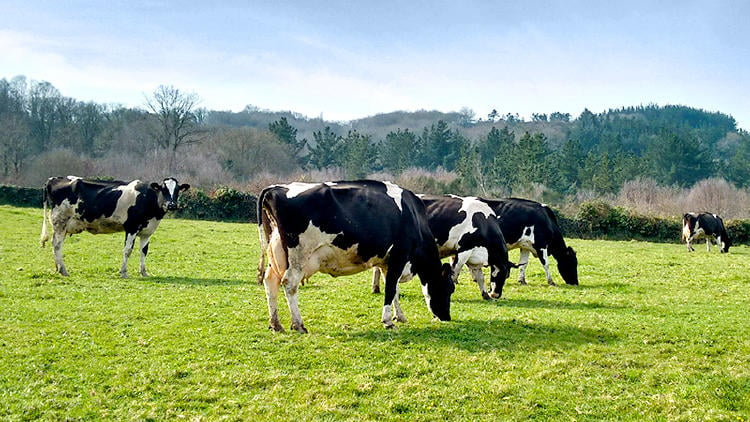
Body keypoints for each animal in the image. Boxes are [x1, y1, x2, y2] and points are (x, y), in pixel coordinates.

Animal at [40, 175, 191, 276]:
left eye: (177, 190)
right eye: (163, 189)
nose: (172, 205)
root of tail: (53, 179)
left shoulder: (147, 232)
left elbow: (144, 252)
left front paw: (143, 272)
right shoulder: (131, 227)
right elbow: (128, 250)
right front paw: (123, 272)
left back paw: (58, 268)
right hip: (60, 222)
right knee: (57, 244)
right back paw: (63, 270)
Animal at [258, 181, 456, 332]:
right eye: (449, 288)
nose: (446, 317)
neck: (414, 217)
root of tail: (276, 188)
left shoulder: (387, 262)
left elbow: (394, 290)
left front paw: (399, 316)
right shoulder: (399, 257)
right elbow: (390, 289)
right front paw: (388, 321)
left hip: (276, 253)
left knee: (270, 281)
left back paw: (275, 324)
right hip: (298, 256)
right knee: (290, 284)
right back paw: (298, 324)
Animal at [374, 195, 520, 300]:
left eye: (507, 275)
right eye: (501, 274)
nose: (496, 294)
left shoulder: (474, 255)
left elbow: (480, 277)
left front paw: (485, 295)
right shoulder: (463, 250)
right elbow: (455, 272)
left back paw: (376, 289)